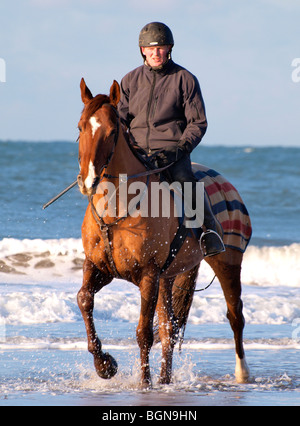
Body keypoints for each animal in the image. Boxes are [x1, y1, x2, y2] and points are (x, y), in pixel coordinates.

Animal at [75, 78, 251, 388]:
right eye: (80, 127)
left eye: (111, 131)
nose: (88, 181)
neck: (117, 208)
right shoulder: (98, 267)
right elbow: (84, 300)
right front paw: (105, 365)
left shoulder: (148, 275)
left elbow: (144, 332)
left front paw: (144, 383)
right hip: (169, 277)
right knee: (170, 328)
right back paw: (166, 380)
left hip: (227, 263)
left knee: (235, 316)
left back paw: (241, 373)